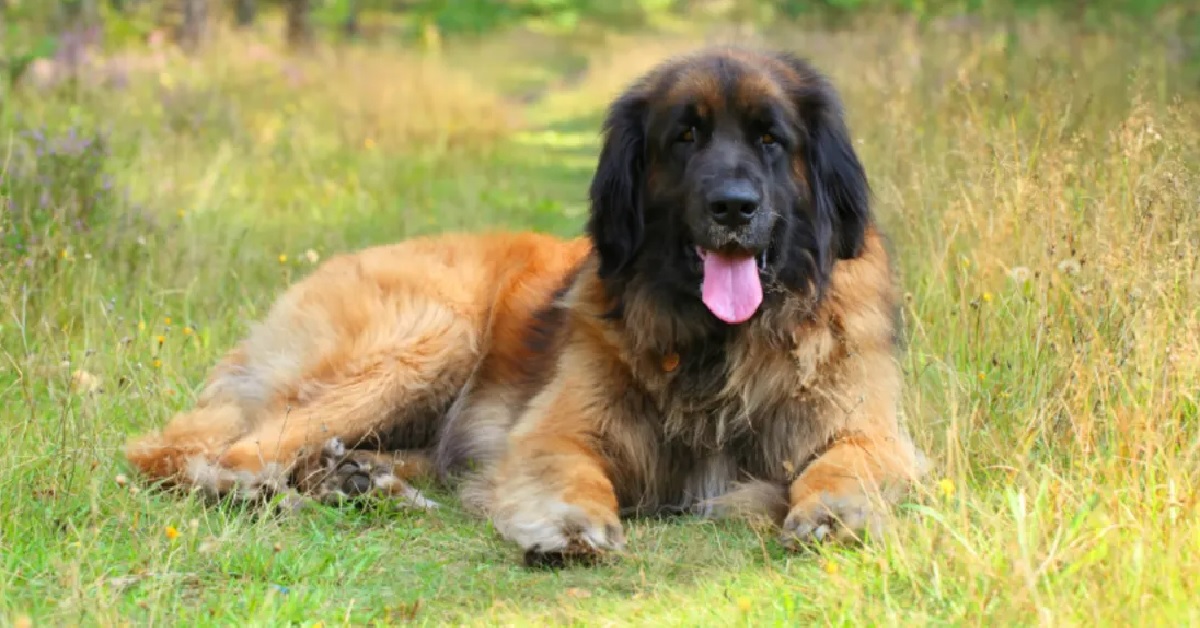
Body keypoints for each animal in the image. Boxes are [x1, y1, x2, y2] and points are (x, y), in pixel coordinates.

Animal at [126, 45, 921, 564]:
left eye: (770, 139)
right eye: (686, 136)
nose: (733, 207)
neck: (717, 344)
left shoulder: (869, 429)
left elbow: (846, 462)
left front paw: (835, 510)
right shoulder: (556, 431)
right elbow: (571, 472)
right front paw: (567, 525)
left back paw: (357, 482)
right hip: (431, 334)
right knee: (213, 453)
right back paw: (271, 493)